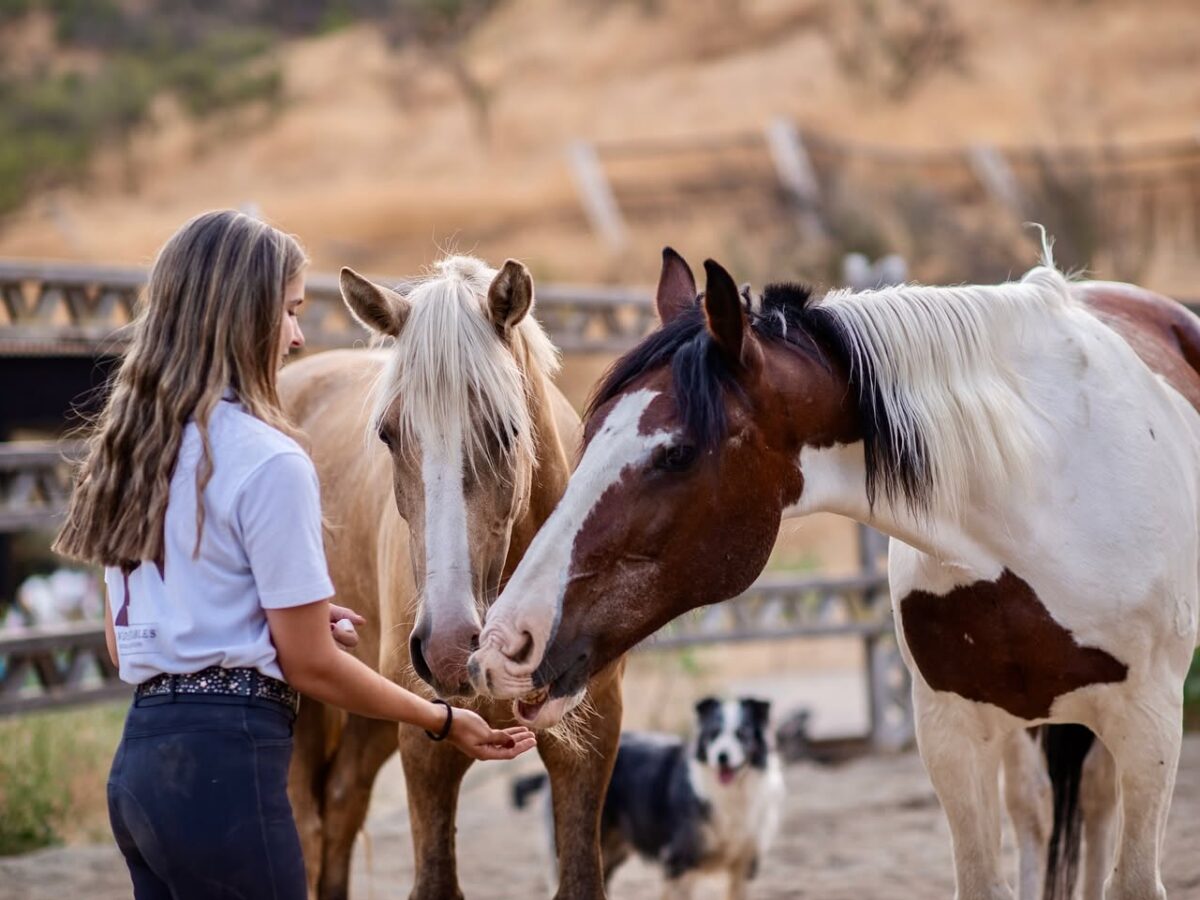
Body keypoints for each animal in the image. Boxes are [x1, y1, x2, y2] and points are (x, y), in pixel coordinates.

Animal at [279, 255, 624, 900]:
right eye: (388, 434)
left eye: (508, 430)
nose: (446, 648)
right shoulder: (427, 748)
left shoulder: (590, 741)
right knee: (308, 823)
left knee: (339, 807)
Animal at [468, 246, 1200, 900]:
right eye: (589, 434)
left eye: (676, 454)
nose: (506, 642)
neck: (1043, 493)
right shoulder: (953, 733)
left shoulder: (1149, 726)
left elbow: (1133, 882)